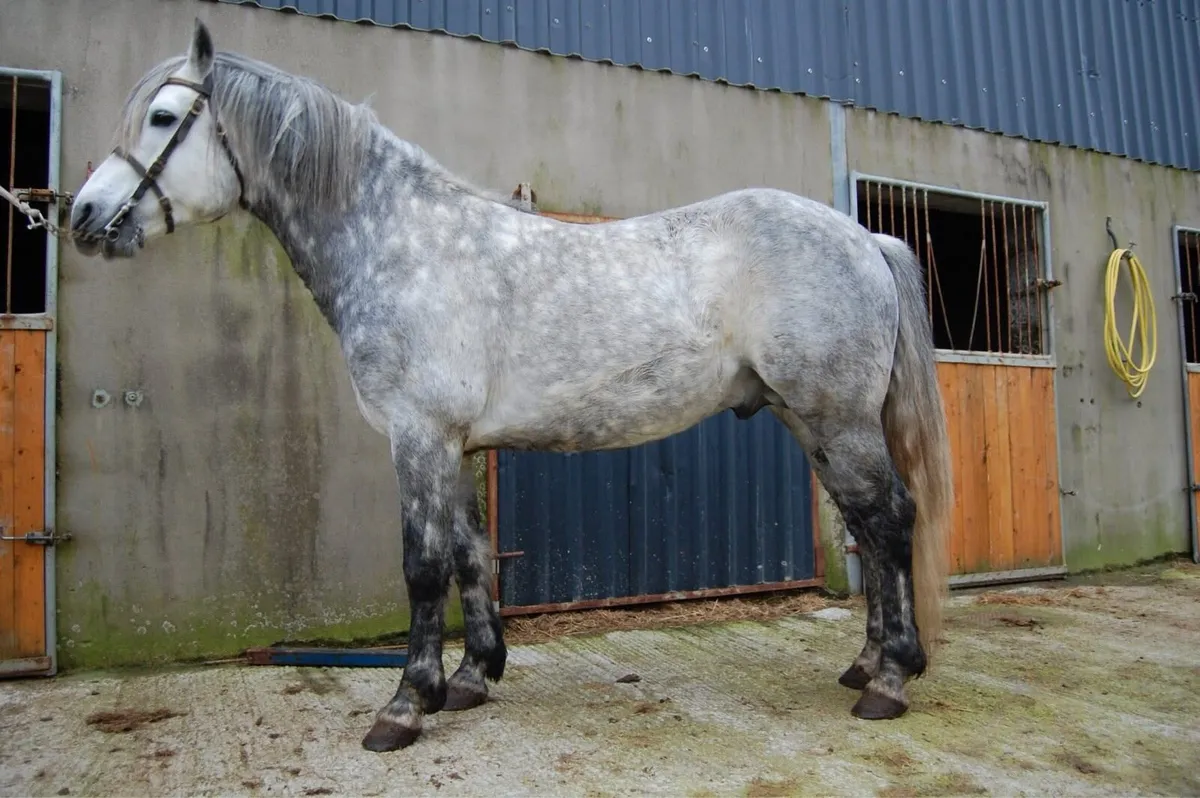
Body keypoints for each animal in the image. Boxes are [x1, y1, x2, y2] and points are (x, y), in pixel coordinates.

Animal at [69, 19, 953, 753]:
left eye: (162, 119)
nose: (82, 216)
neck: (399, 242)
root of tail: (863, 237)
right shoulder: (456, 446)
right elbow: (470, 554)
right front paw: (469, 678)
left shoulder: (418, 437)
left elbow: (424, 566)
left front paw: (403, 705)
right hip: (815, 423)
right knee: (868, 530)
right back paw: (864, 662)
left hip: (836, 421)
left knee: (890, 522)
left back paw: (890, 680)